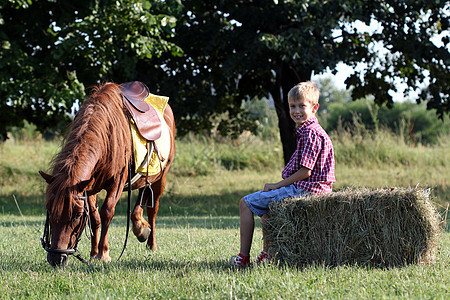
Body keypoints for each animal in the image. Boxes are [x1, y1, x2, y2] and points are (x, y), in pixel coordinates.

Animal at [39, 82, 176, 268]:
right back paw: (140, 227)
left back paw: (151, 243)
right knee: (141, 197)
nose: (56, 258)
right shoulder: (87, 187)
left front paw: (103, 254)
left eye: (76, 215)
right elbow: (94, 217)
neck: (107, 137)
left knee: (153, 209)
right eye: (49, 209)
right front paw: (93, 253)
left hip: (161, 177)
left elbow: (107, 211)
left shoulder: (117, 181)